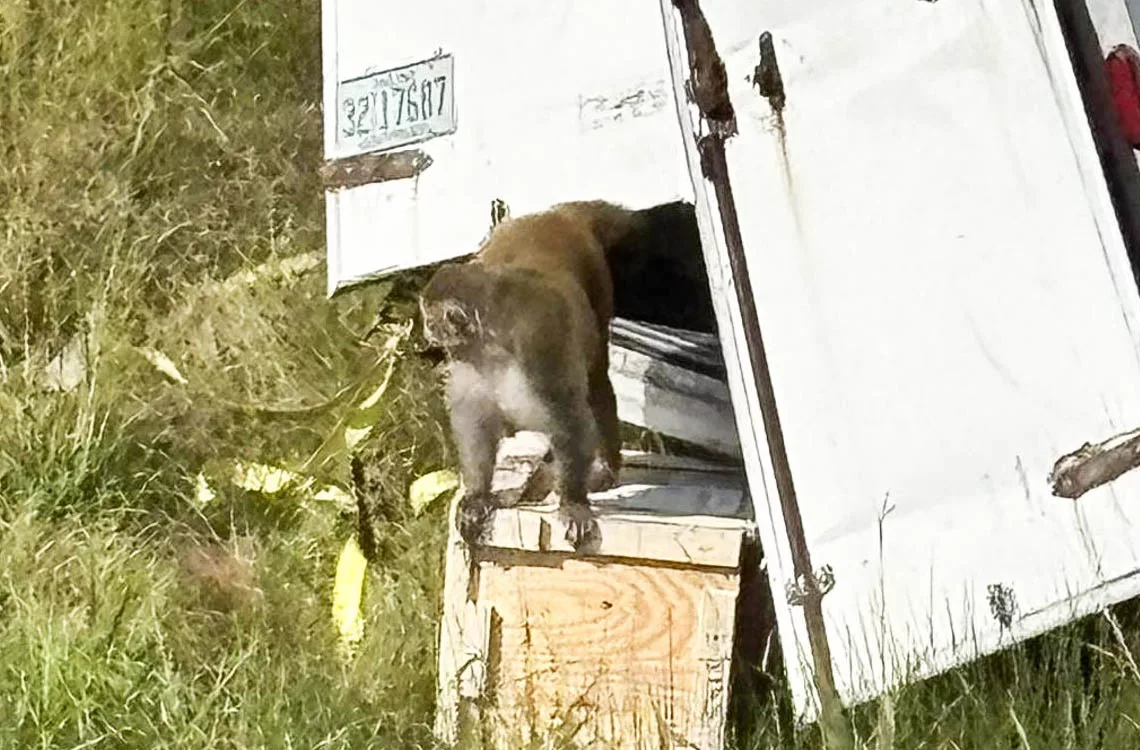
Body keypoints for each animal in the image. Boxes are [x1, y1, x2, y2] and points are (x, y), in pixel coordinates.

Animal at [419, 200, 643, 550]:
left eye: (430, 319)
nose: (426, 331)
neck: (492, 343)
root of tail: (555, 215)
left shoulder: (538, 344)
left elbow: (569, 418)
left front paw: (573, 503)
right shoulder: (468, 362)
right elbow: (475, 422)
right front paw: (478, 495)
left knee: (595, 381)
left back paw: (605, 467)